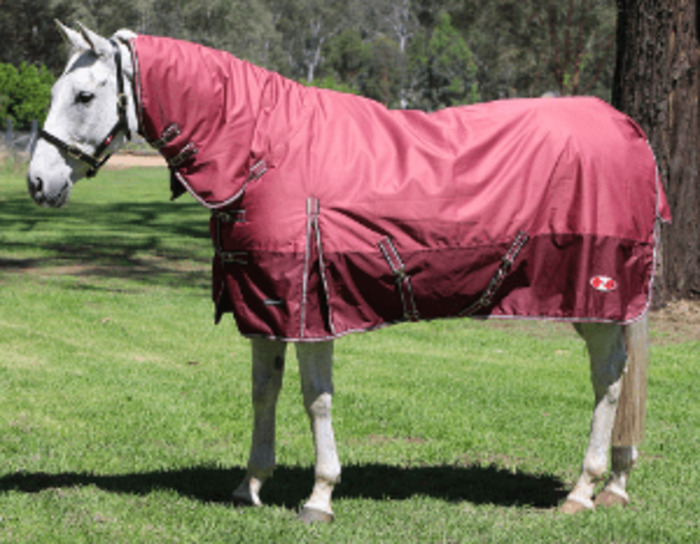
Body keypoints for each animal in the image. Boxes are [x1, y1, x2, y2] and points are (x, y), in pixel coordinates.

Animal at [27, 23, 670, 523]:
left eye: (83, 95)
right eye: (57, 89)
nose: (37, 182)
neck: (264, 149)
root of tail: (627, 128)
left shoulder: (312, 306)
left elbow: (316, 399)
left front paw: (319, 496)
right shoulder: (265, 303)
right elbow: (263, 391)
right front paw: (250, 486)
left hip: (595, 296)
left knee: (609, 380)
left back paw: (583, 491)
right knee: (618, 375)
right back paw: (614, 484)